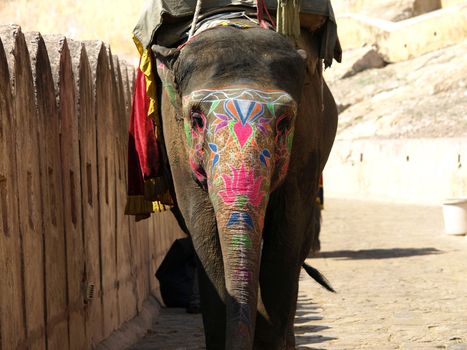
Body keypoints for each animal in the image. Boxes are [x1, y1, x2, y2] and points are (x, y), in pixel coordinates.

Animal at [154, 20, 340, 348]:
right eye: (196, 119)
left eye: (284, 123)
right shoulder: (176, 143)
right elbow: (204, 232)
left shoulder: (306, 141)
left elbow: (286, 237)